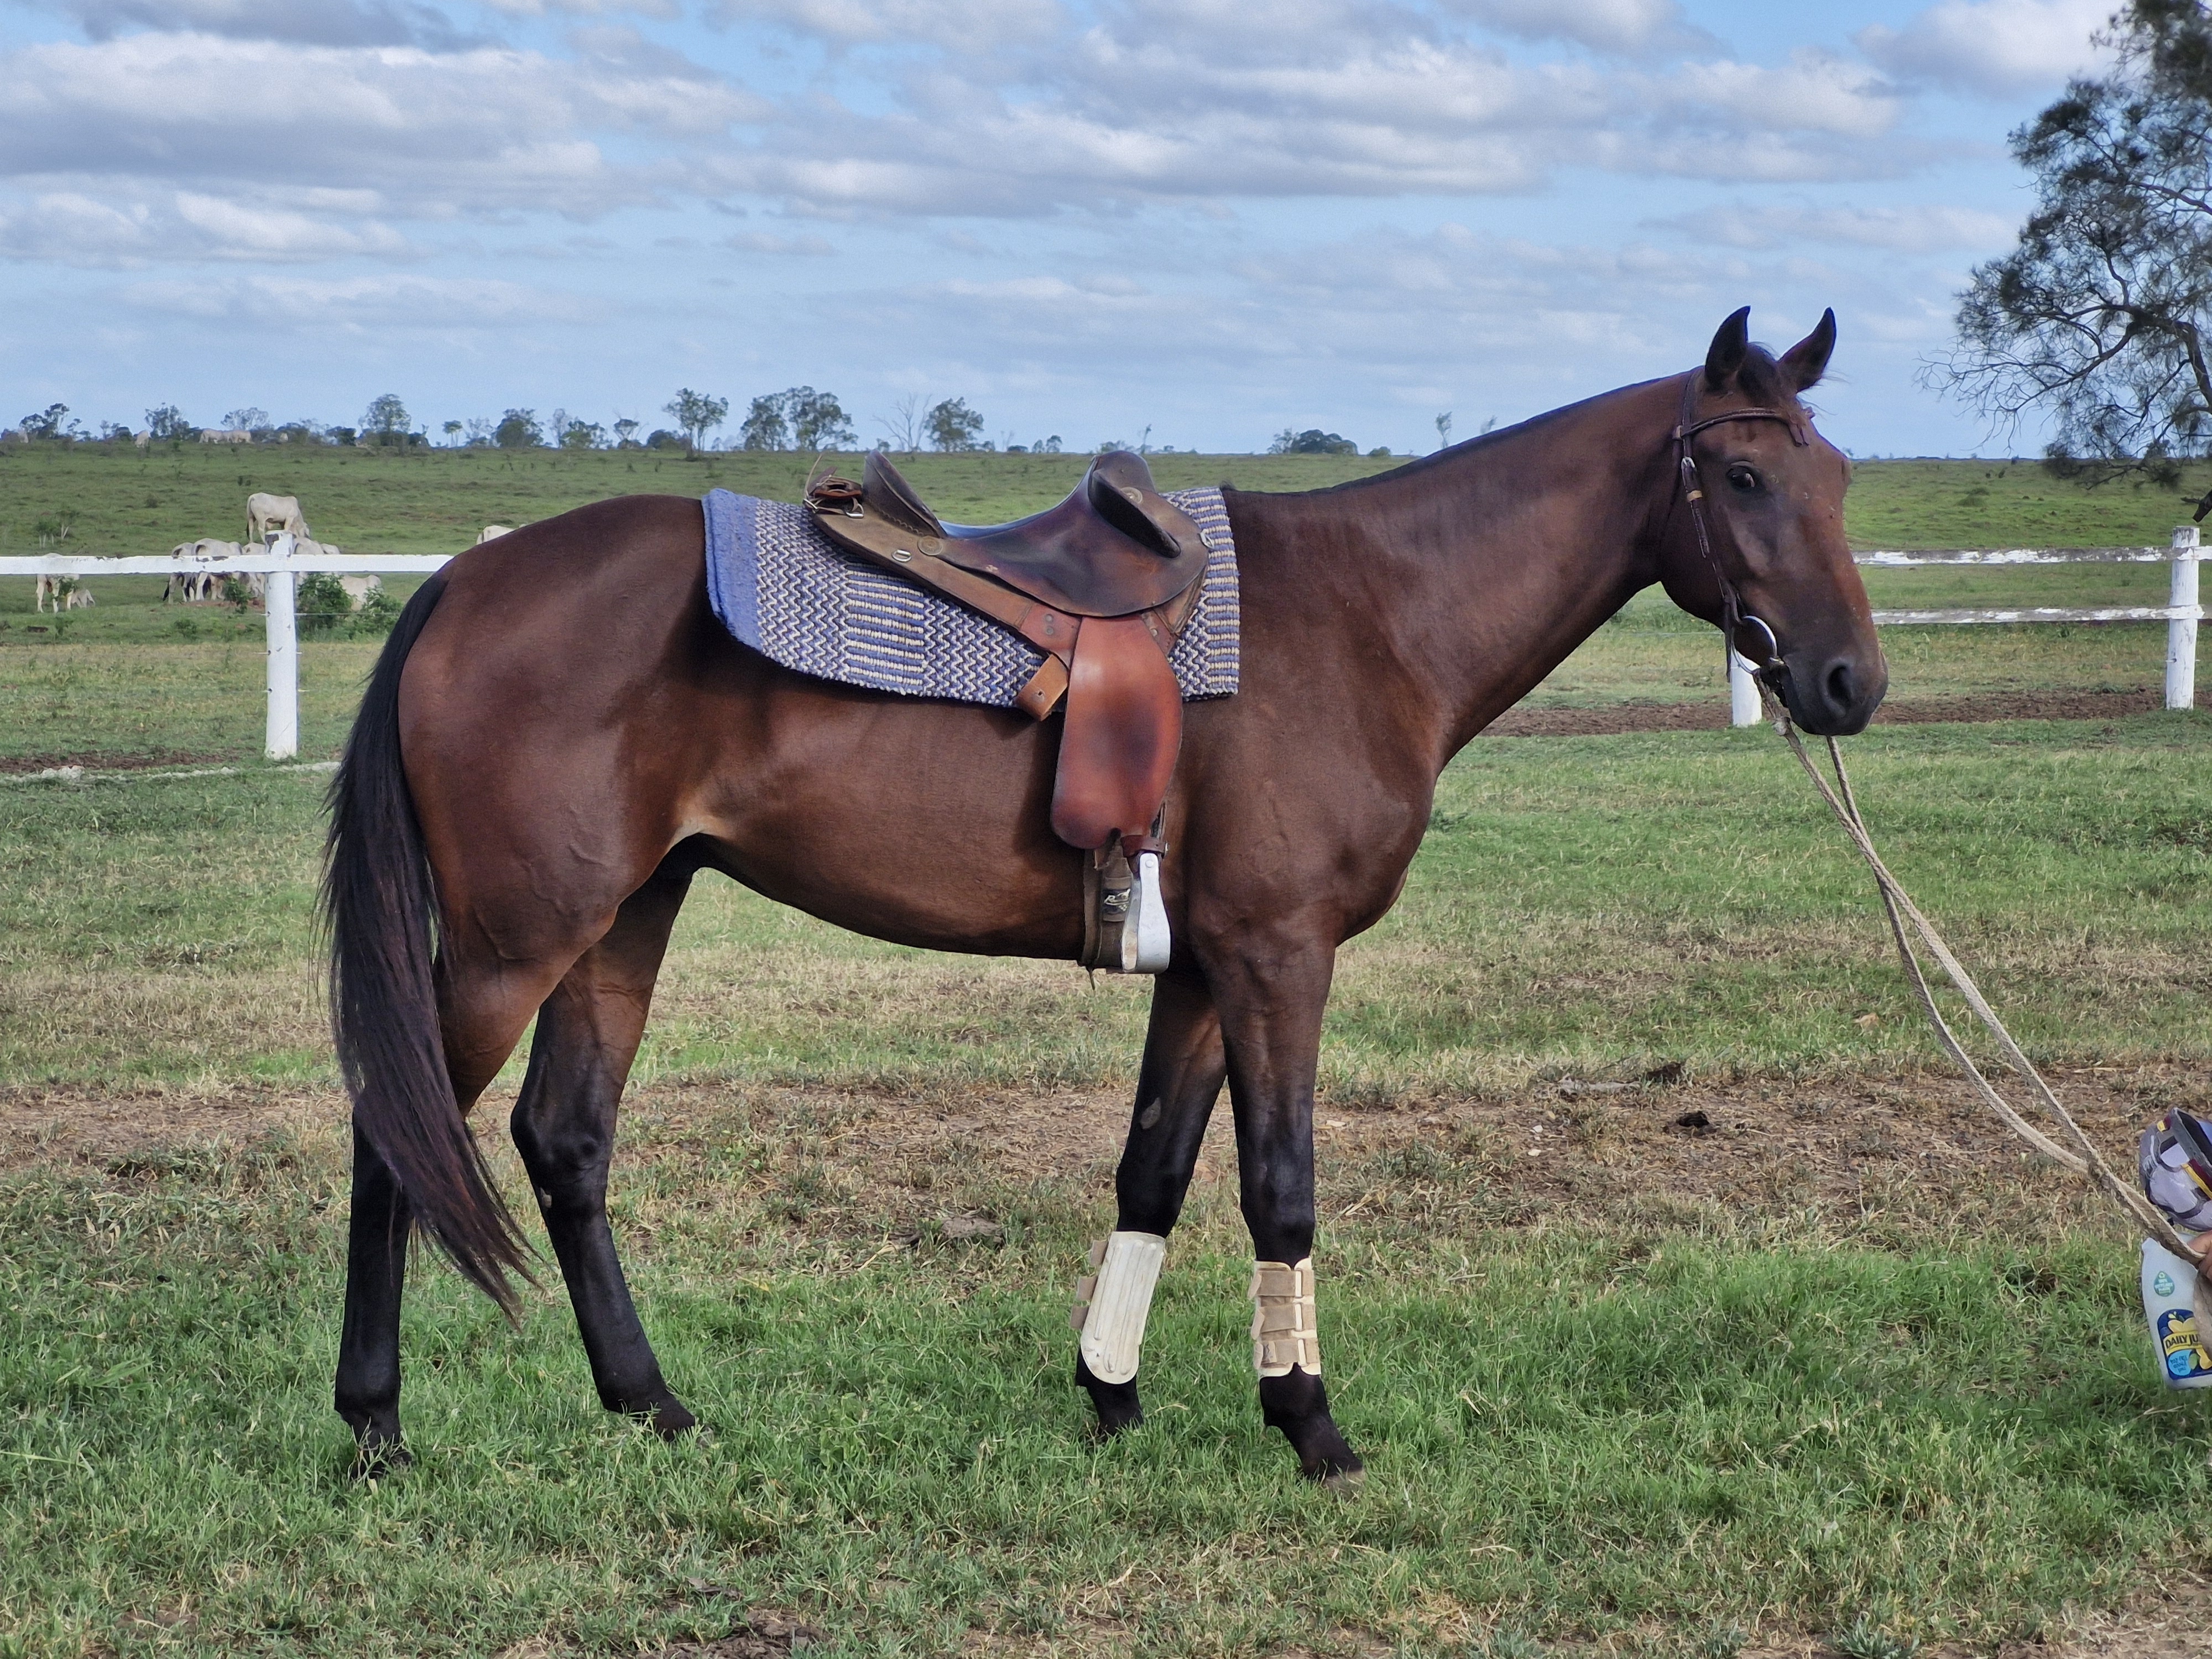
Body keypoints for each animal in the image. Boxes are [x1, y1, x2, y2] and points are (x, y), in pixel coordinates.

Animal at [324, 308, 1885, 1484]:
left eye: (1839, 482)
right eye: (1745, 483)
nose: (1846, 683)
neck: (1372, 619)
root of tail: (462, 583)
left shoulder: (1202, 968)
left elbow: (1153, 1167)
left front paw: (1111, 1393)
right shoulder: (1277, 958)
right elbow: (1279, 1186)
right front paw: (1309, 1424)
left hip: (621, 920)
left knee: (565, 1141)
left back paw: (650, 1405)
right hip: (513, 942)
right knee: (401, 1136)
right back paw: (375, 1426)